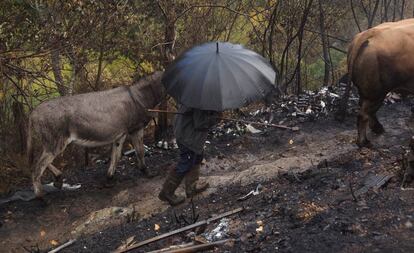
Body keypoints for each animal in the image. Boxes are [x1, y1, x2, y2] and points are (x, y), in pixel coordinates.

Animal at [26, 70, 163, 198]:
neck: (139, 97)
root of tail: (33, 113)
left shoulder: (120, 135)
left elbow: (116, 156)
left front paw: (109, 179)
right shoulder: (136, 129)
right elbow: (140, 152)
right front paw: (147, 172)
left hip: (50, 143)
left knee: (36, 162)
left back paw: (58, 180)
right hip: (56, 143)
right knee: (37, 168)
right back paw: (41, 198)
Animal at [350, 18, 414, 147]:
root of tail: (363, 36)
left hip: (366, 88)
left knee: (365, 108)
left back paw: (377, 129)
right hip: (376, 90)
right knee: (364, 114)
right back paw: (364, 142)